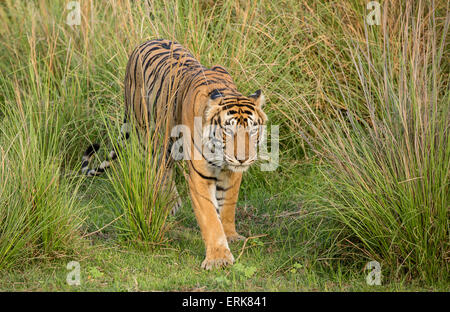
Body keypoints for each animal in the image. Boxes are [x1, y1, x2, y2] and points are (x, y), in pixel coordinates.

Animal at [81, 38, 266, 268]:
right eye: (228, 131)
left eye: (252, 130)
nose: (243, 159)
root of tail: (144, 42)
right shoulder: (200, 176)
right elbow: (210, 217)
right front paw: (218, 258)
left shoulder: (232, 173)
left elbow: (228, 205)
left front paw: (231, 235)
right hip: (149, 134)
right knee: (159, 168)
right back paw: (169, 203)